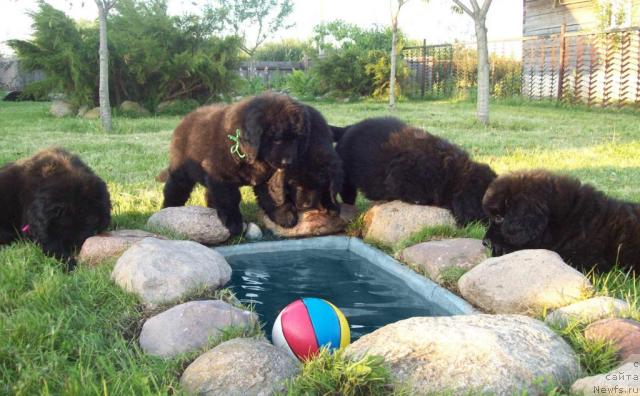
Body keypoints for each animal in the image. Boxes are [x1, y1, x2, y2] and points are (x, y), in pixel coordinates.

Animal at [159, 93, 342, 235]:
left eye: (297, 138)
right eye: (277, 139)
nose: (288, 162)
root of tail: (185, 119)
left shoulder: (268, 176)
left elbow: (271, 196)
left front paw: (283, 215)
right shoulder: (221, 175)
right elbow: (229, 198)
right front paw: (234, 223)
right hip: (181, 171)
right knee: (175, 188)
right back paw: (167, 208)